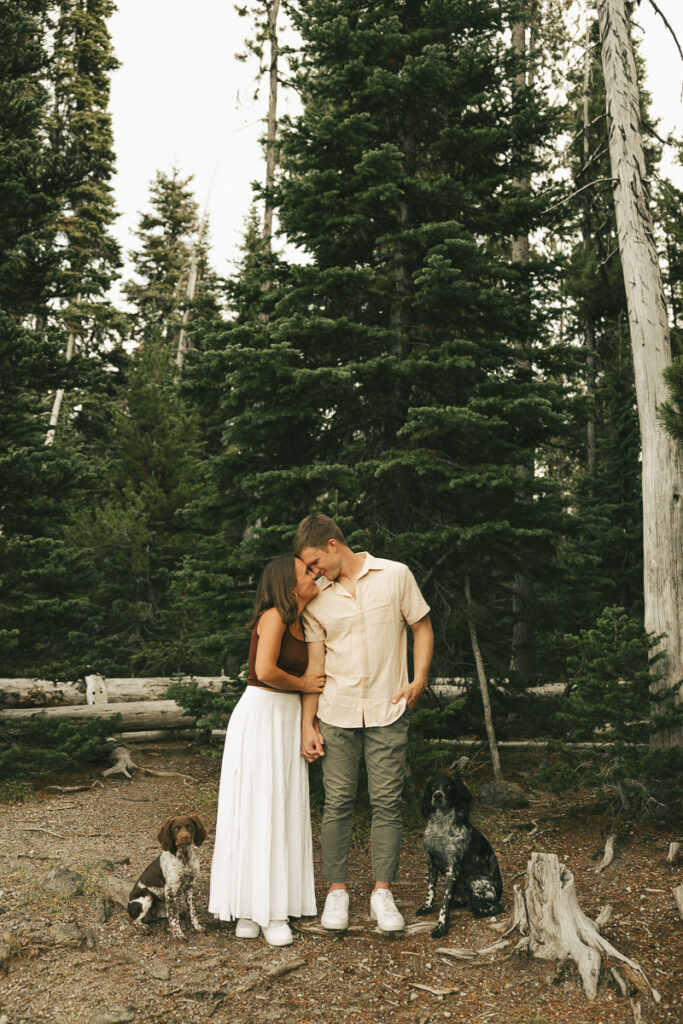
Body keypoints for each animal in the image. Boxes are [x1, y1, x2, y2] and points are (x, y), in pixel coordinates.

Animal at [413, 774, 505, 937]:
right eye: (433, 786)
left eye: (449, 786)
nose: (437, 795)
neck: (441, 825)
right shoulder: (431, 861)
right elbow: (430, 889)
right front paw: (427, 907)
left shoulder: (452, 868)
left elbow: (444, 903)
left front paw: (441, 926)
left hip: (476, 882)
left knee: (497, 907)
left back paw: (479, 910)